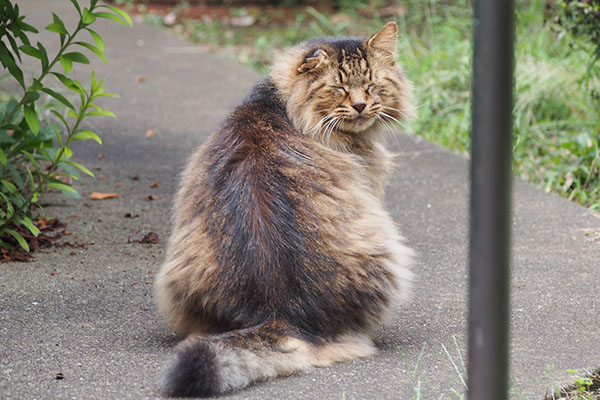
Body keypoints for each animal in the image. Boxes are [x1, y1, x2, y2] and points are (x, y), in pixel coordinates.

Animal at [155, 21, 414, 396]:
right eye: (338, 88)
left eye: (371, 85)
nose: (361, 105)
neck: (280, 104)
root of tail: (279, 312)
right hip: (389, 250)